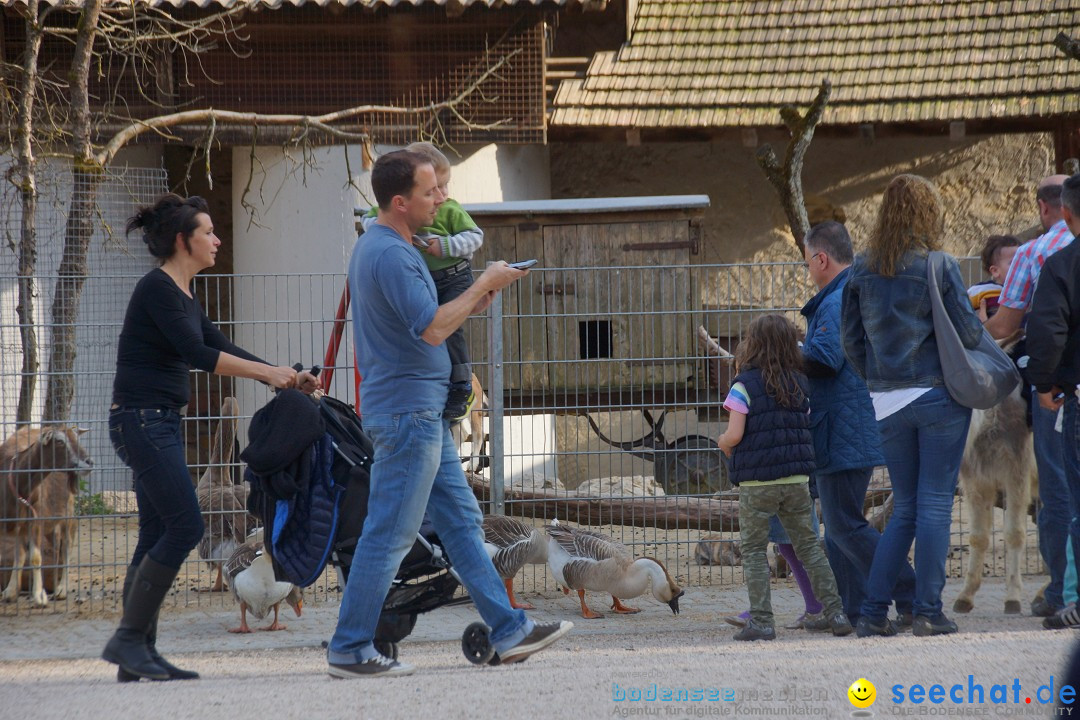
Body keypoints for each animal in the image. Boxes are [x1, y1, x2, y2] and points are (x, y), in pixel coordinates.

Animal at [0, 427, 91, 608]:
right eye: (60, 441)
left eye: (77, 438)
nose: (89, 462)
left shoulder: (36, 519)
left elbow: (36, 557)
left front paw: (39, 596)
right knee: (21, 553)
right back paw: (11, 591)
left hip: (68, 513)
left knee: (66, 548)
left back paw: (61, 589)